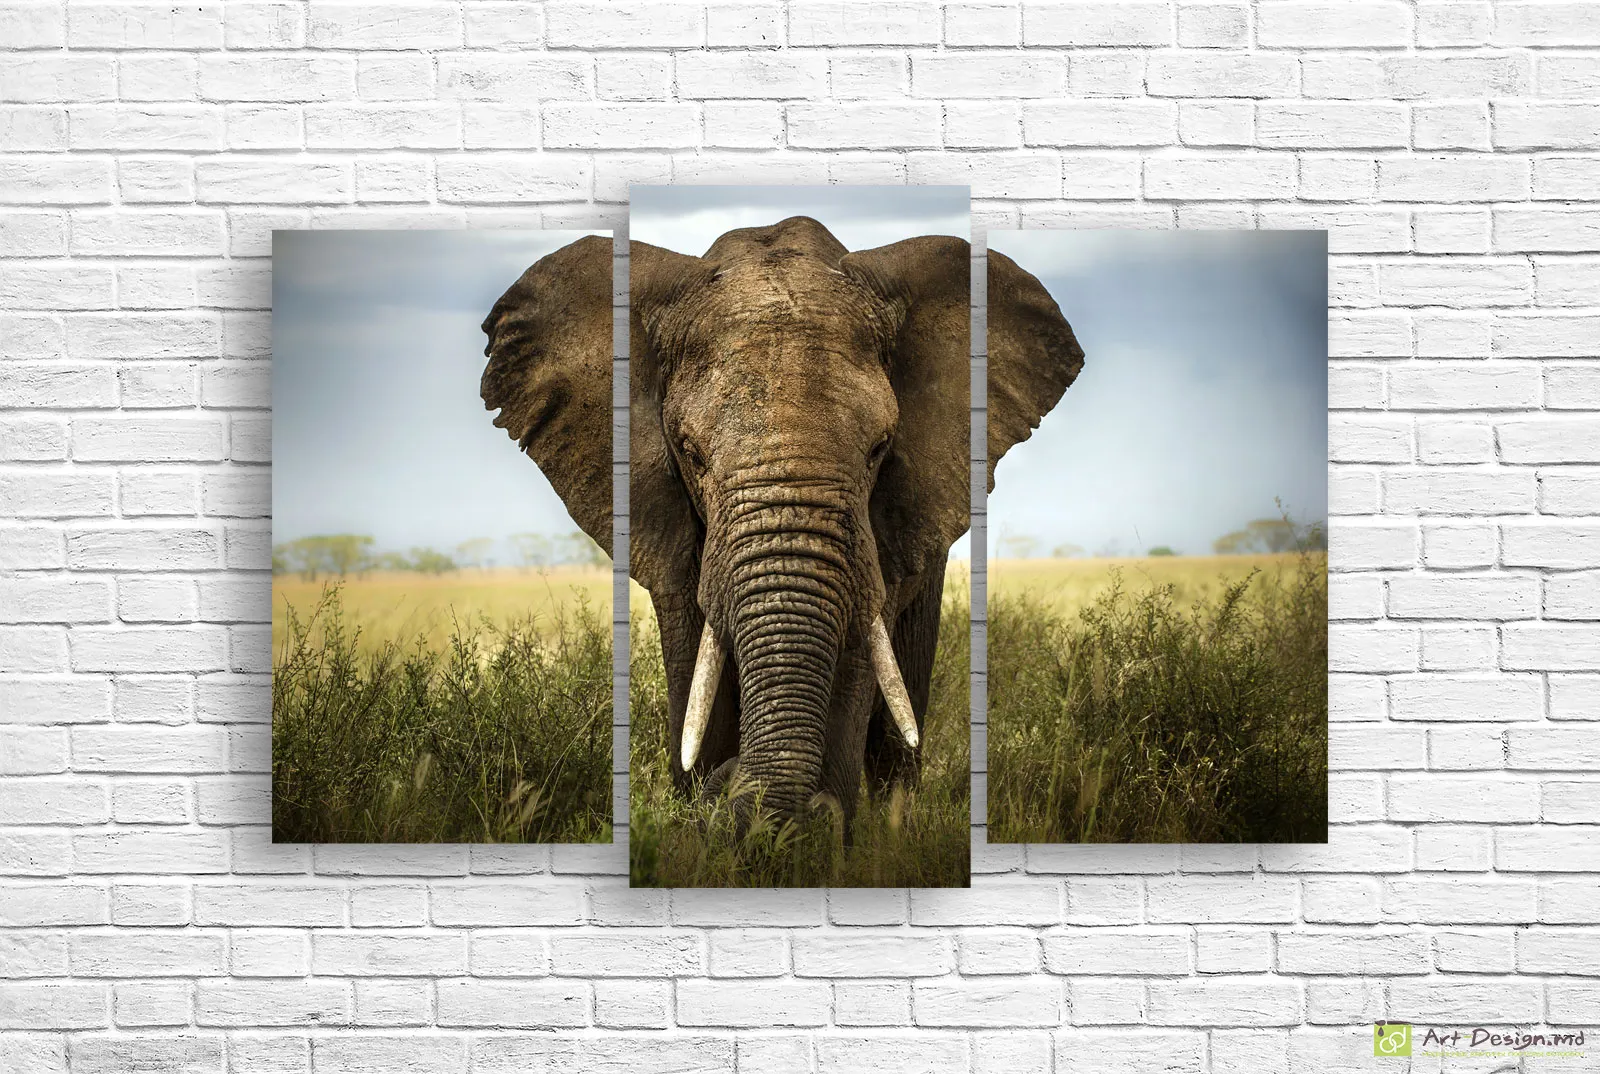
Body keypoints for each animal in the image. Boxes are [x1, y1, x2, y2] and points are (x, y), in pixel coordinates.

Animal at [480, 218, 1083, 827]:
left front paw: (814, 830)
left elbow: (856, 656)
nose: (730, 785)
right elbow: (695, 661)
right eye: (691, 454)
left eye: (879, 450)